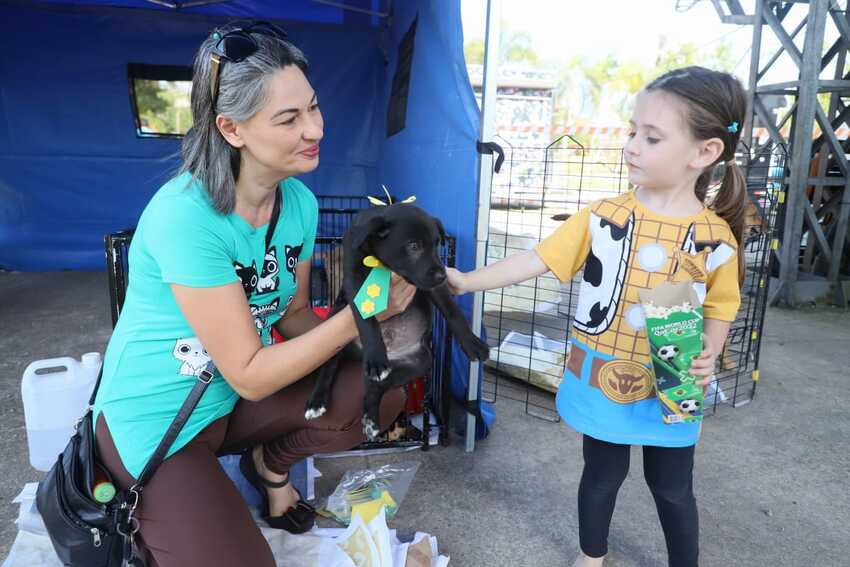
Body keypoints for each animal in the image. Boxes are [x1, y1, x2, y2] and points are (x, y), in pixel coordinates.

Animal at [304, 203, 490, 440]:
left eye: (437, 244)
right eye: (413, 246)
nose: (443, 276)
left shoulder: (431, 284)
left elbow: (452, 310)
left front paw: (472, 343)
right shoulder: (354, 280)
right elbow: (367, 320)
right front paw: (376, 356)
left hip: (420, 362)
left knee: (379, 385)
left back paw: (371, 418)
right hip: (333, 338)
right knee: (328, 367)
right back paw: (317, 402)